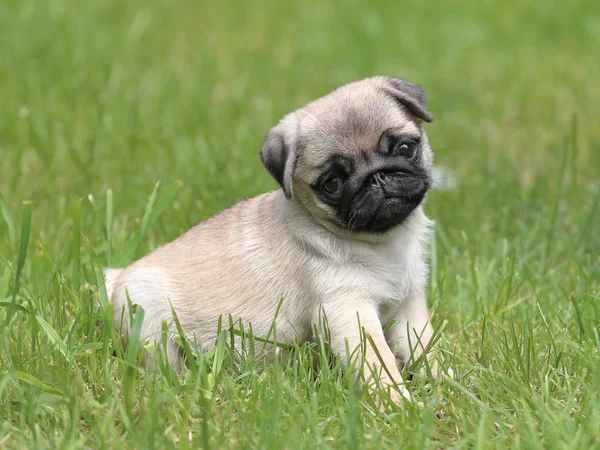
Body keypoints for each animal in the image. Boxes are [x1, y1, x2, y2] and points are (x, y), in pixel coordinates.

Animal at [103, 76, 440, 404]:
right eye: (331, 183)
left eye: (405, 148)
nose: (377, 177)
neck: (382, 243)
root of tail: (117, 278)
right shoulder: (349, 309)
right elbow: (376, 363)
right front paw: (399, 404)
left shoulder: (408, 306)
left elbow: (425, 347)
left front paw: (441, 380)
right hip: (146, 316)